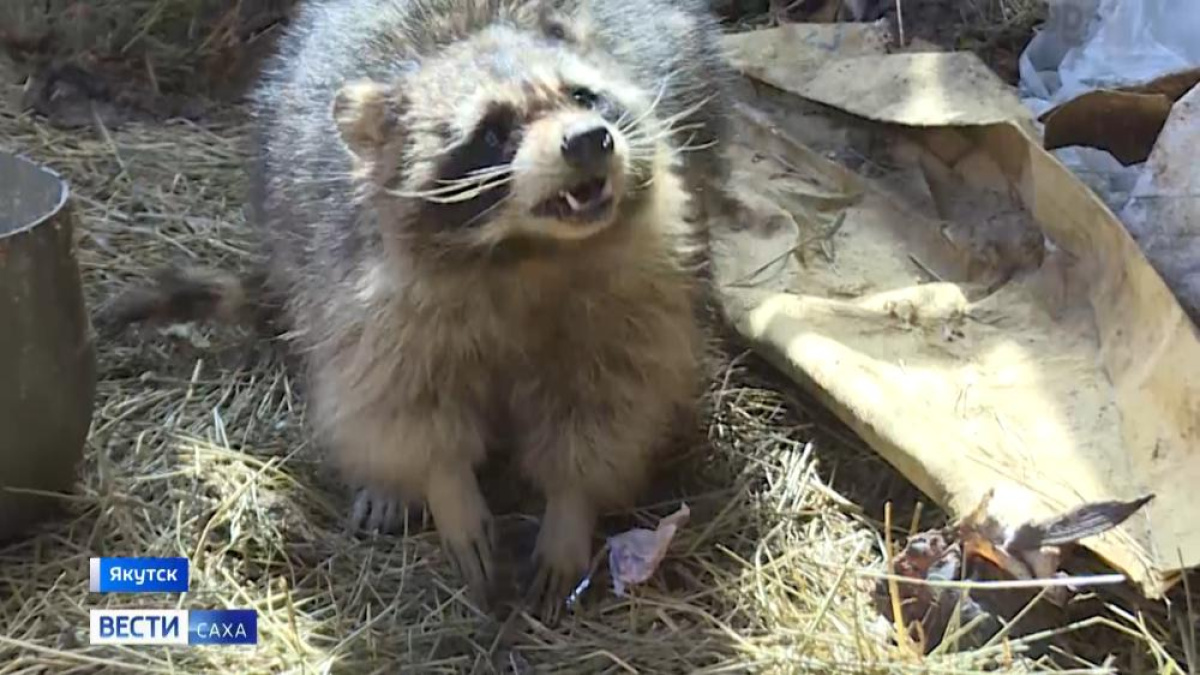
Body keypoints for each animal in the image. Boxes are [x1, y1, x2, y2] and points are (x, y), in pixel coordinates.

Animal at [108, 0, 734, 612]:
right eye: (492, 132)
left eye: (583, 96)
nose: (588, 139)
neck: (529, 252)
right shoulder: (363, 286)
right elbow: (399, 400)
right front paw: (444, 484)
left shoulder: (639, 286)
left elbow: (610, 402)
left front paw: (570, 505)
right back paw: (388, 483)